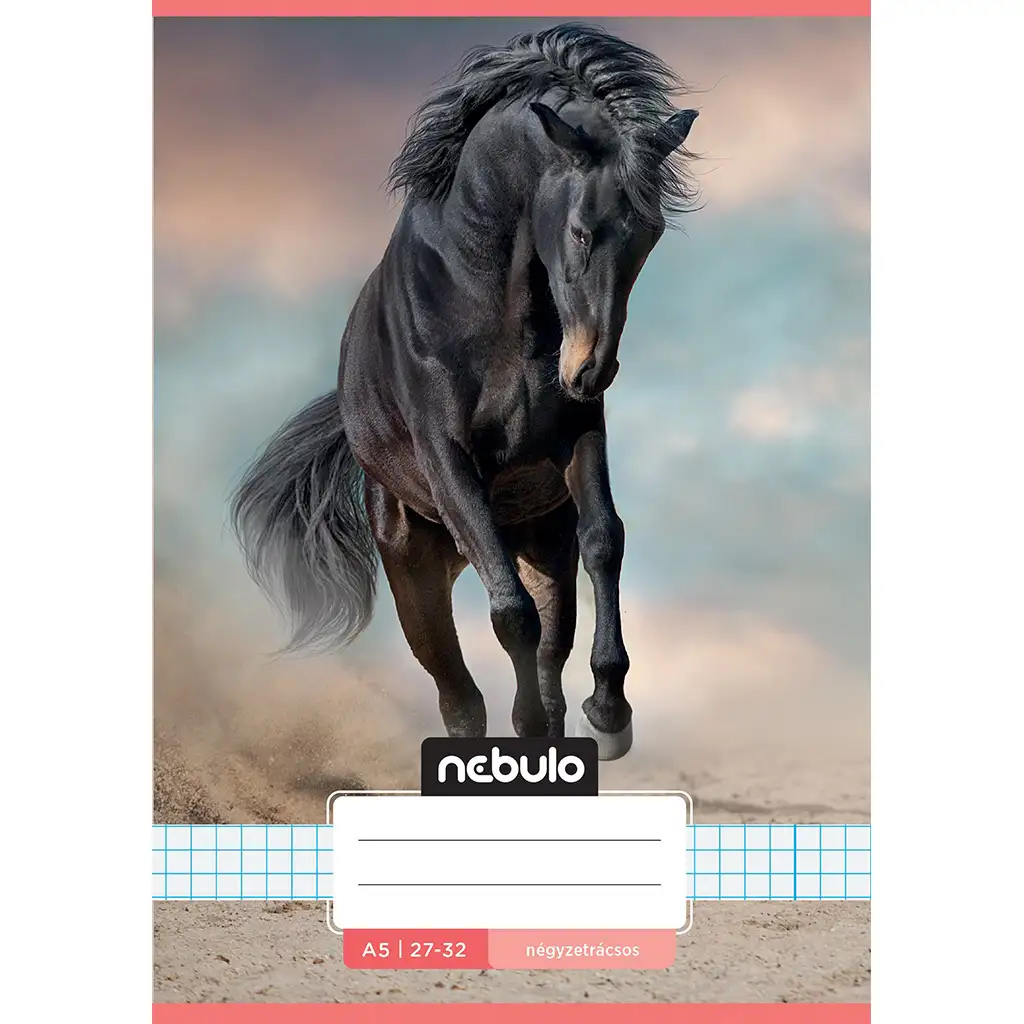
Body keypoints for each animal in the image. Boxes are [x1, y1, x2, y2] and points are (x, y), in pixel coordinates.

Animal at [229, 23, 700, 761]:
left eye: (649, 236)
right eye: (582, 230)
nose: (589, 372)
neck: (486, 297)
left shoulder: (579, 436)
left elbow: (604, 541)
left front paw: (610, 709)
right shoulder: (451, 460)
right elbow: (510, 616)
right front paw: (543, 722)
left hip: (542, 546)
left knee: (547, 646)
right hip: (416, 574)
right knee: (459, 696)